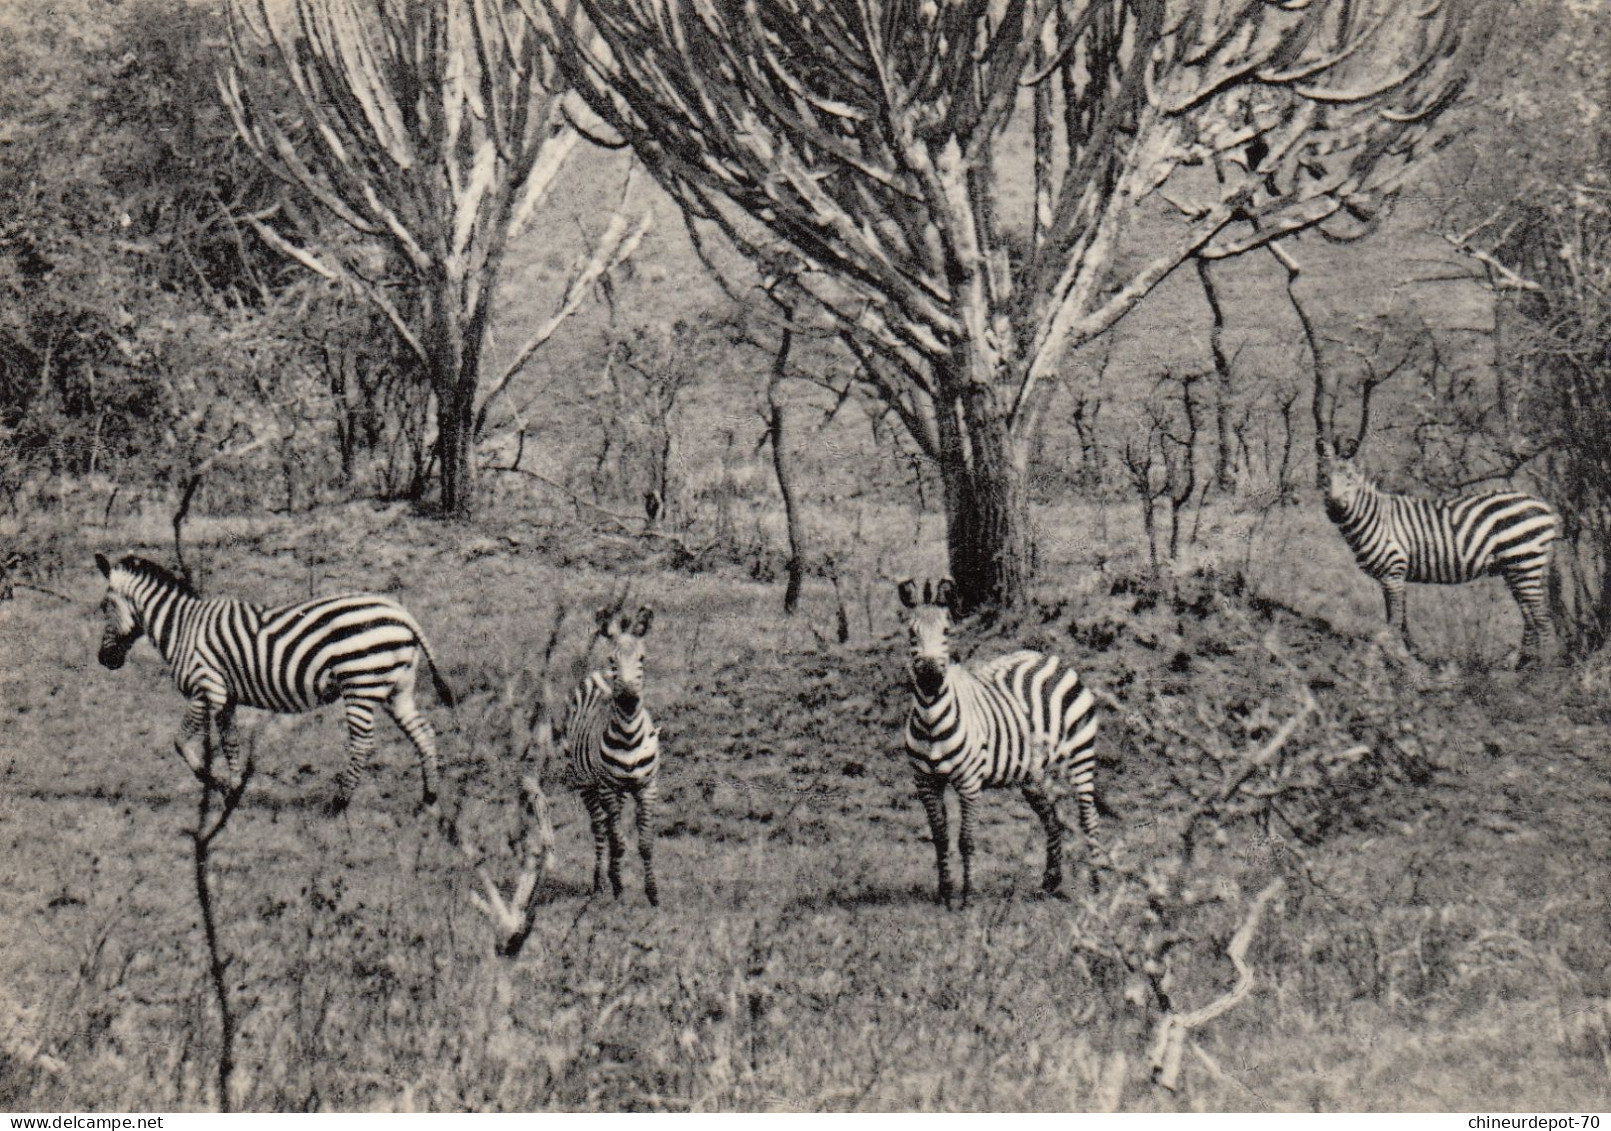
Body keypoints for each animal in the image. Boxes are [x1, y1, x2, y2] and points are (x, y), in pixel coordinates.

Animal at [94, 554, 454, 812]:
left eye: (104, 606)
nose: (104, 659)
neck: (183, 627)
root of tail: (401, 614)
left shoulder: (207, 689)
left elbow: (180, 743)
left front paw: (216, 784)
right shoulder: (226, 698)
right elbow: (231, 744)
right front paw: (233, 794)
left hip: (361, 684)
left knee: (363, 743)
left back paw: (339, 804)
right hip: (396, 688)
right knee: (423, 732)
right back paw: (429, 798)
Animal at [560, 605, 660, 908]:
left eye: (642, 658)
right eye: (612, 658)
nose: (627, 699)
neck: (629, 736)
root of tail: (597, 674)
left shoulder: (647, 787)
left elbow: (645, 842)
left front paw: (652, 894)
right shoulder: (607, 787)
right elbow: (618, 841)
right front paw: (619, 890)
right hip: (586, 782)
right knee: (600, 828)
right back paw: (599, 883)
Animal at [895, 580, 1108, 908]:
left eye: (946, 632)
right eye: (911, 632)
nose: (930, 677)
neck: (931, 718)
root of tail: (1049, 658)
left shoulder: (969, 782)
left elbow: (966, 840)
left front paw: (968, 896)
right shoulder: (925, 783)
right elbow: (940, 838)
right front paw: (945, 894)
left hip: (1080, 756)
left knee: (1089, 817)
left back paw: (1096, 887)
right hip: (1034, 776)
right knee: (1052, 817)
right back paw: (1051, 882)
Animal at [1321, 435, 1559, 663]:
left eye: (1350, 478)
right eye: (1324, 477)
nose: (1334, 510)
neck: (1375, 517)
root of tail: (1543, 506)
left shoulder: (1393, 572)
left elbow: (1394, 622)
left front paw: (1389, 658)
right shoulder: (1391, 577)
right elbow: (1401, 621)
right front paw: (1410, 656)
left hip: (1525, 561)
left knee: (1541, 619)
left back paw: (1542, 669)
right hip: (1515, 568)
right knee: (1530, 615)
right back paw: (1522, 665)